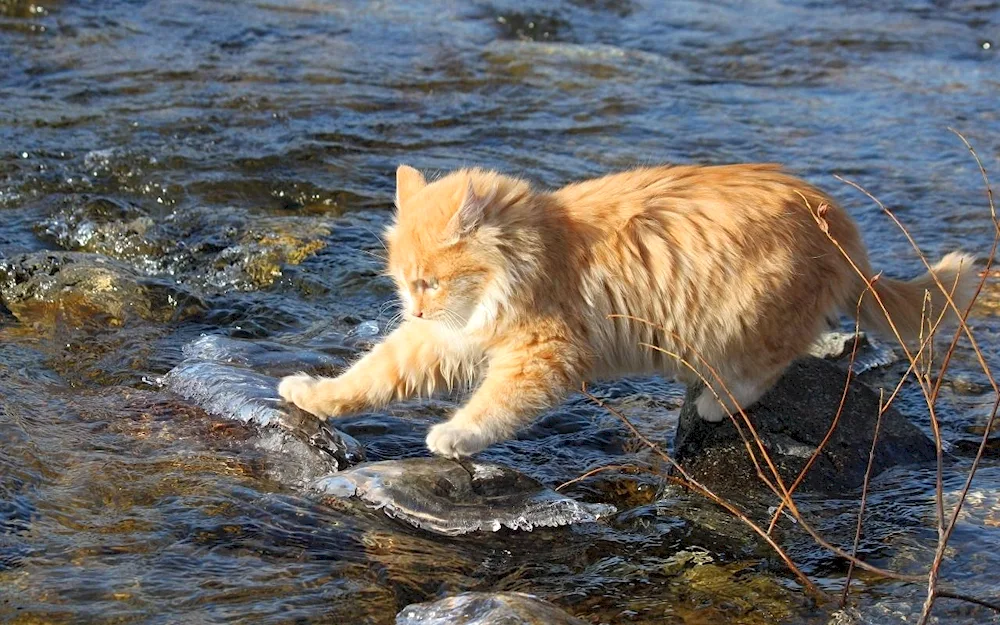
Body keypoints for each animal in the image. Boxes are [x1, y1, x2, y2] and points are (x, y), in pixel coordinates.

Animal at [276, 165, 976, 458]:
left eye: (429, 282)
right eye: (403, 284)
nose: (415, 311)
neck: (538, 250)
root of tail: (845, 233)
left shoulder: (543, 355)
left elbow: (492, 409)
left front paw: (455, 437)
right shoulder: (442, 341)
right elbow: (369, 376)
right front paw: (313, 395)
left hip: (752, 312)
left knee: (769, 366)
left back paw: (714, 400)